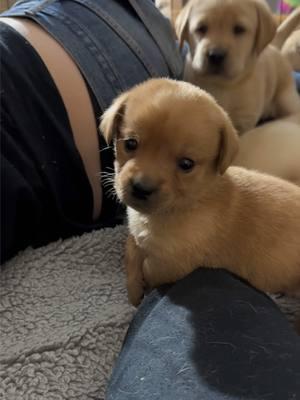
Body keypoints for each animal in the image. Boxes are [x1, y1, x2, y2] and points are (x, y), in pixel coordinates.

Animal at [100, 79, 300, 308]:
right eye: (130, 143)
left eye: (186, 164)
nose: (141, 188)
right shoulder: (138, 237)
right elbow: (132, 250)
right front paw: (134, 286)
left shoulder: (174, 264)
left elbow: (149, 267)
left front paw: (142, 288)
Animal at [176, 0, 300, 133]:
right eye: (201, 28)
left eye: (239, 29)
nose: (216, 55)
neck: (222, 85)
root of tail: (274, 46)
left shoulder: (244, 120)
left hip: (285, 98)